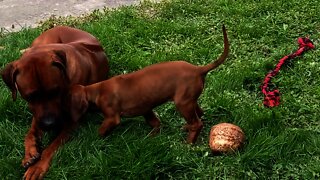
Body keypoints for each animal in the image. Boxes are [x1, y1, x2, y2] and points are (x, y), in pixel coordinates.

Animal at [0, 25, 109, 180]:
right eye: (30, 97)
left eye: (56, 91)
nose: (49, 124)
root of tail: (59, 26)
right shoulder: (38, 115)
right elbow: (30, 133)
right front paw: (29, 153)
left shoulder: (71, 123)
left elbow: (51, 147)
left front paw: (38, 166)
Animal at [70, 25, 230, 143]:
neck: (96, 90)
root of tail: (198, 69)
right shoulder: (145, 109)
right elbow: (155, 123)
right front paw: (152, 137)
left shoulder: (112, 118)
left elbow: (101, 130)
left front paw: (94, 141)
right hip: (189, 100)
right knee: (199, 114)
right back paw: (187, 128)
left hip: (182, 102)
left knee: (197, 123)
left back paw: (189, 142)